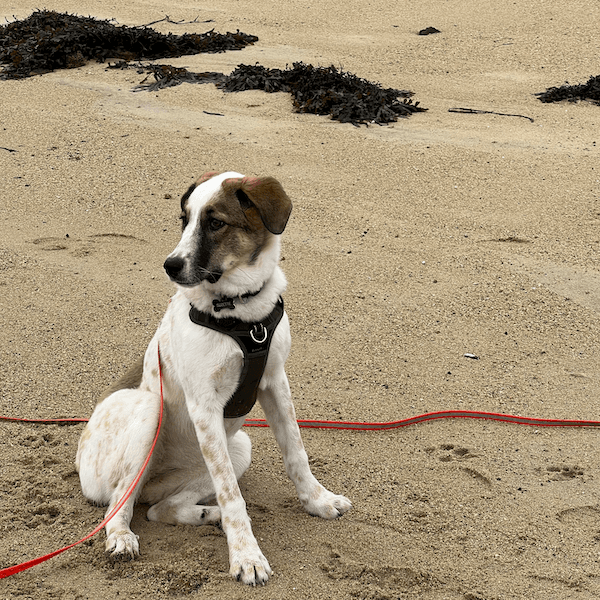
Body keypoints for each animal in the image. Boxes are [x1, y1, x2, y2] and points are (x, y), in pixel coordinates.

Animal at [77, 171, 354, 584]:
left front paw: (318, 501)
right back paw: (123, 537)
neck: (241, 312)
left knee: (157, 508)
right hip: (149, 411)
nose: (170, 265)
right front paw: (246, 555)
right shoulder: (205, 406)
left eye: (216, 223)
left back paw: (208, 515)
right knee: (118, 503)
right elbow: (232, 494)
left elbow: (296, 453)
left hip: (237, 449)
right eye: (184, 219)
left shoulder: (275, 382)